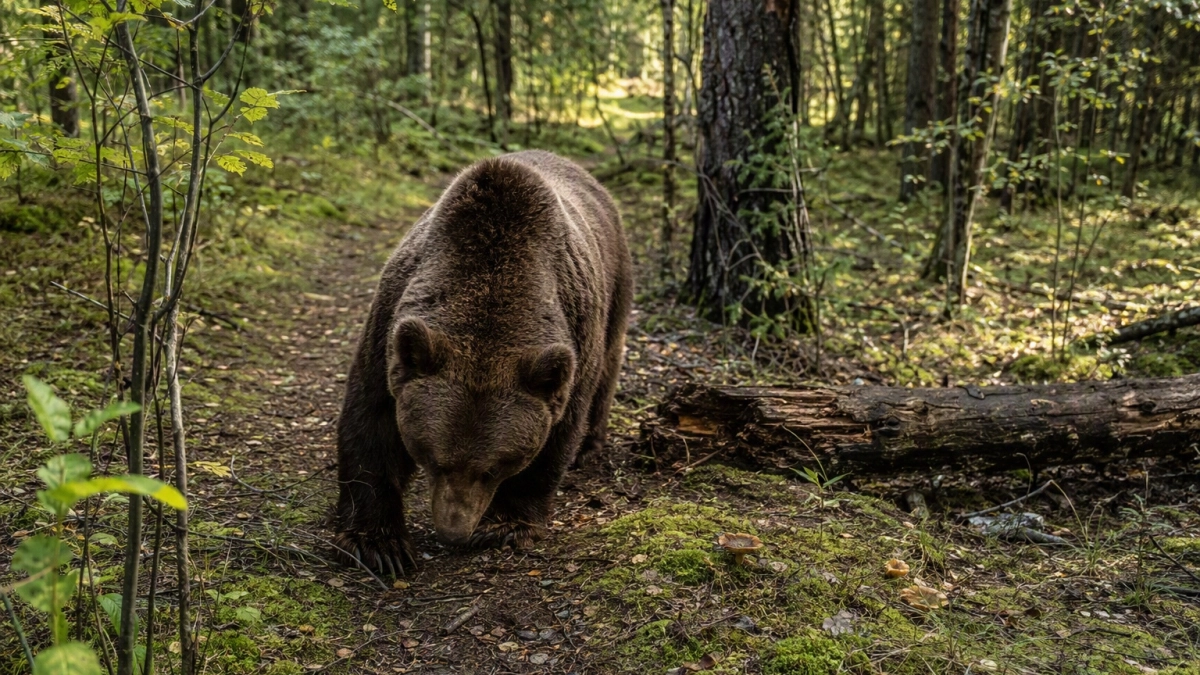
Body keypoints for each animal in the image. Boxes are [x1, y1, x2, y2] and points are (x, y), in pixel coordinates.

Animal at [333, 150, 633, 575]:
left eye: (495, 467)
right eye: (432, 458)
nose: (453, 531)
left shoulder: (573, 341)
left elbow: (557, 436)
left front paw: (504, 525)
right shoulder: (390, 331)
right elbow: (371, 424)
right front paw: (378, 544)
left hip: (616, 284)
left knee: (608, 366)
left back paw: (590, 447)